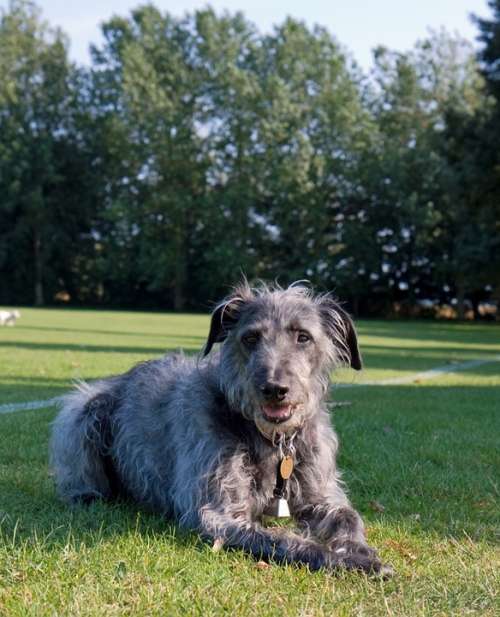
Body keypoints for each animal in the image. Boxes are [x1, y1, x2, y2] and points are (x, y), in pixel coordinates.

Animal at [50, 282, 392, 576]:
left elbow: (348, 515)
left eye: (303, 337)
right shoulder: (219, 512)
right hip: (83, 410)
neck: (271, 440)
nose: (274, 389)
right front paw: (345, 559)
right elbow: (284, 540)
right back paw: (86, 494)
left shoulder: (319, 493)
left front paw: (357, 549)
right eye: (250, 338)